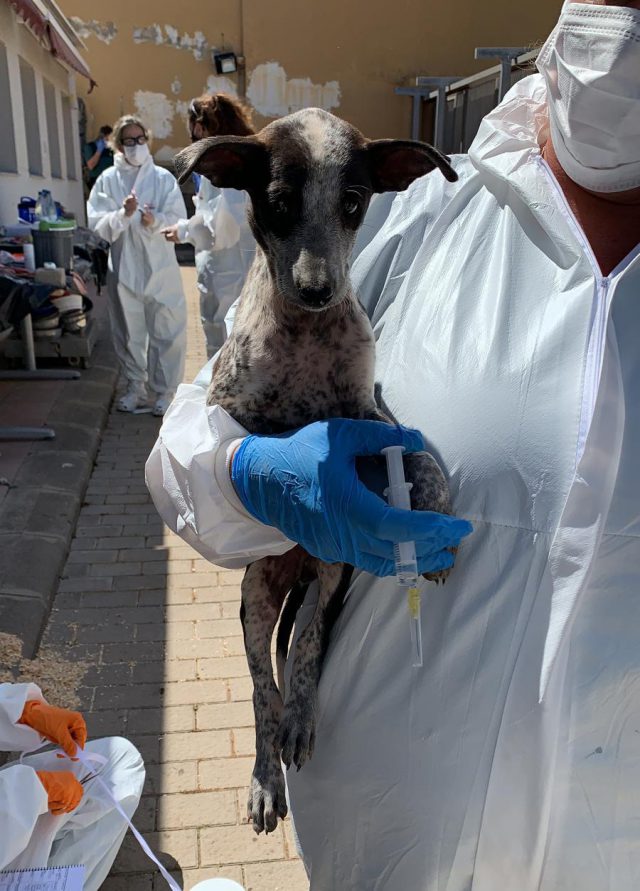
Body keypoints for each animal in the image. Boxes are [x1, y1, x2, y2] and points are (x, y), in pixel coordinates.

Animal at [172, 108, 458, 840]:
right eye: (278, 201)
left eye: (353, 202)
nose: (317, 289)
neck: (303, 338)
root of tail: (298, 564)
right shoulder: (228, 415)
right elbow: (238, 452)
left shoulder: (371, 419)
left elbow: (420, 455)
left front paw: (434, 510)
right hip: (254, 595)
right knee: (260, 688)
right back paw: (265, 772)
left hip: (331, 571)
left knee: (303, 643)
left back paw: (299, 717)